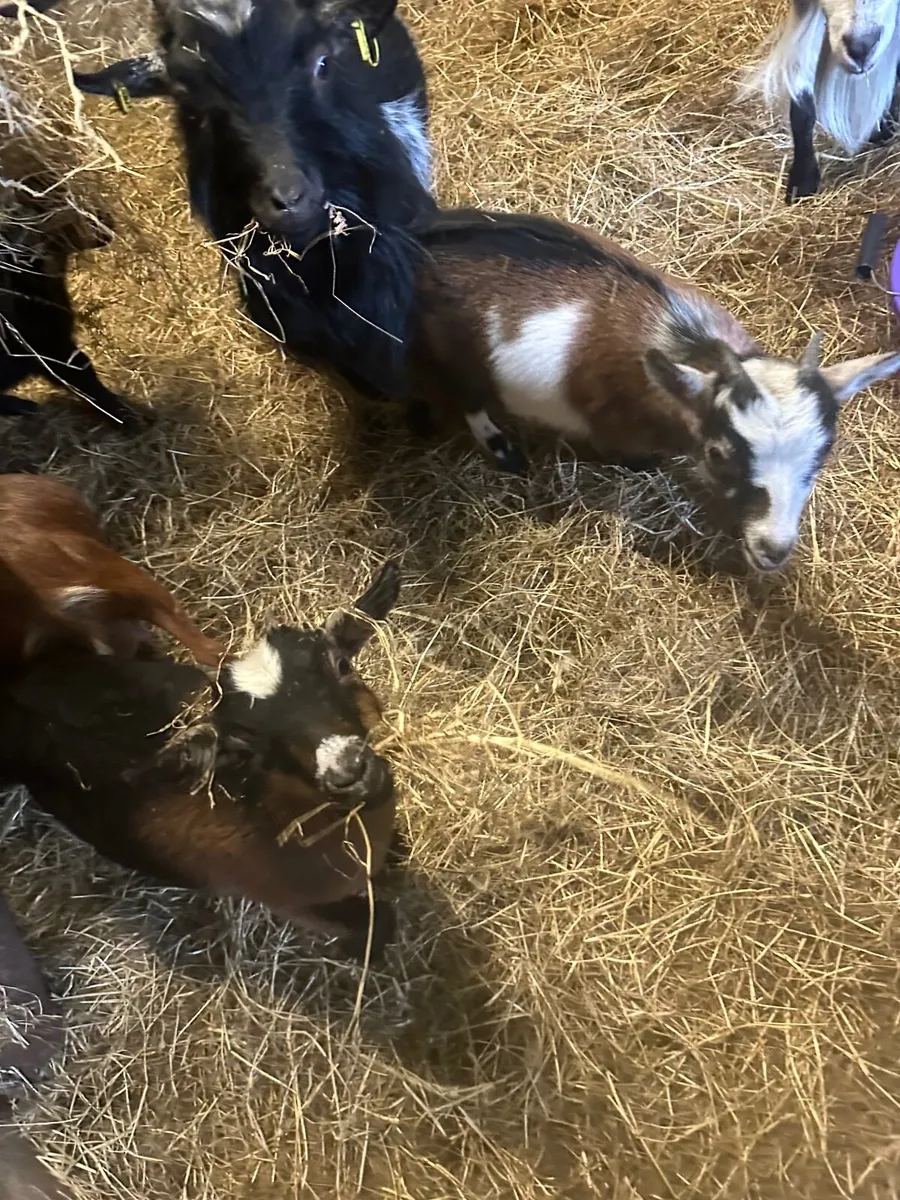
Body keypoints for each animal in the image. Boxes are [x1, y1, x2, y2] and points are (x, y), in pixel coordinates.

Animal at [406, 209, 900, 571]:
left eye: (824, 451)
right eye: (719, 454)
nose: (772, 549)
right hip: (453, 359)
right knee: (467, 400)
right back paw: (500, 449)